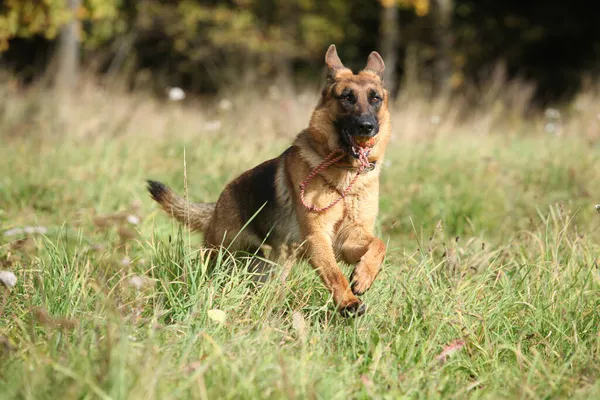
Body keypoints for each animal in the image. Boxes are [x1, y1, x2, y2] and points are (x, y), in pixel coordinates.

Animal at [148, 45, 392, 316]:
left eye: (375, 98)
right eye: (347, 98)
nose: (367, 126)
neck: (347, 176)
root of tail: (218, 204)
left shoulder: (347, 238)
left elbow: (378, 244)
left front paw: (364, 275)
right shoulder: (317, 237)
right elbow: (333, 273)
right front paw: (349, 302)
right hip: (223, 257)